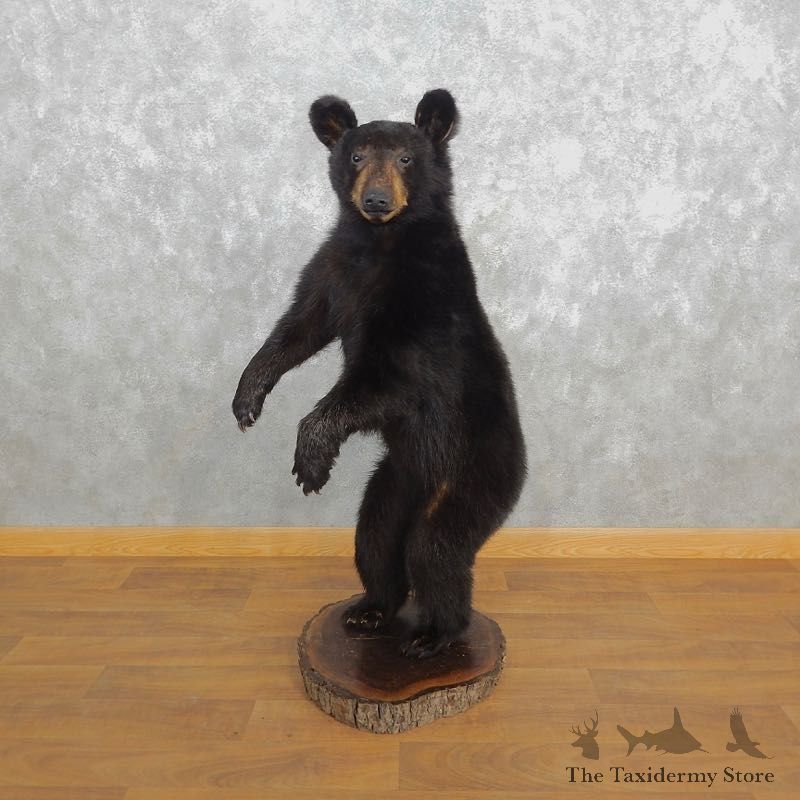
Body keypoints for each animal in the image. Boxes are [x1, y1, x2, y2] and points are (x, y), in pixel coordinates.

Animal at [233, 89, 526, 658]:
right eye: (357, 156)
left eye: (407, 159)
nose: (375, 201)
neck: (381, 244)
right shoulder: (333, 270)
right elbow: (299, 326)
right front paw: (247, 397)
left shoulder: (424, 303)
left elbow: (388, 379)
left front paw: (309, 460)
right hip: (394, 480)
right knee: (375, 537)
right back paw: (371, 608)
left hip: (475, 473)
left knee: (436, 549)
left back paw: (436, 632)